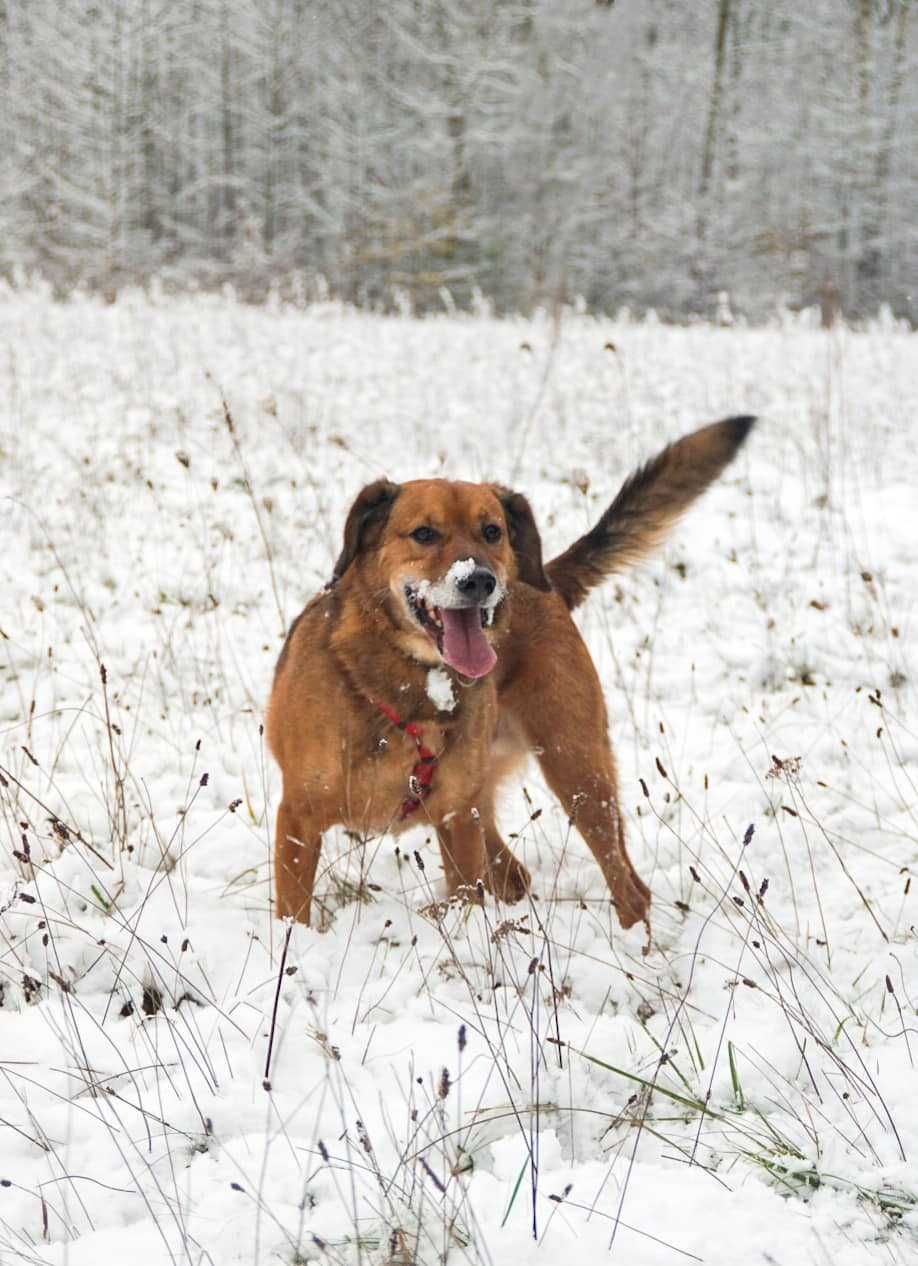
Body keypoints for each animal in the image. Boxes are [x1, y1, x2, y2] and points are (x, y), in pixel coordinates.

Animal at [264, 415, 749, 931]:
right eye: (424, 534)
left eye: (492, 531)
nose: (479, 581)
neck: (409, 684)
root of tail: (541, 579)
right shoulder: (299, 819)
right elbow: (294, 913)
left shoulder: (456, 820)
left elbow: (463, 898)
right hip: (495, 796)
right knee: (517, 875)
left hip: (575, 766)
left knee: (627, 883)